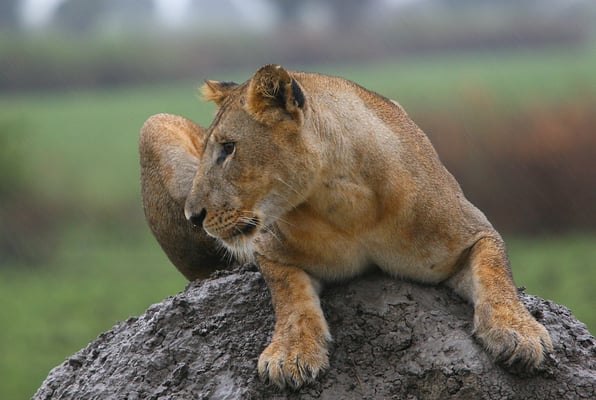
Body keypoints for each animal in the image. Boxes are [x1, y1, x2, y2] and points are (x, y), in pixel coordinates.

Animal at [139, 64, 552, 389]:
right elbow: (289, 298)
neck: (345, 203)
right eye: (214, 148)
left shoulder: (474, 231)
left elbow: (496, 275)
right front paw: (291, 353)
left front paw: (520, 335)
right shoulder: (269, 251)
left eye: (228, 148)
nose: (193, 215)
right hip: (152, 124)